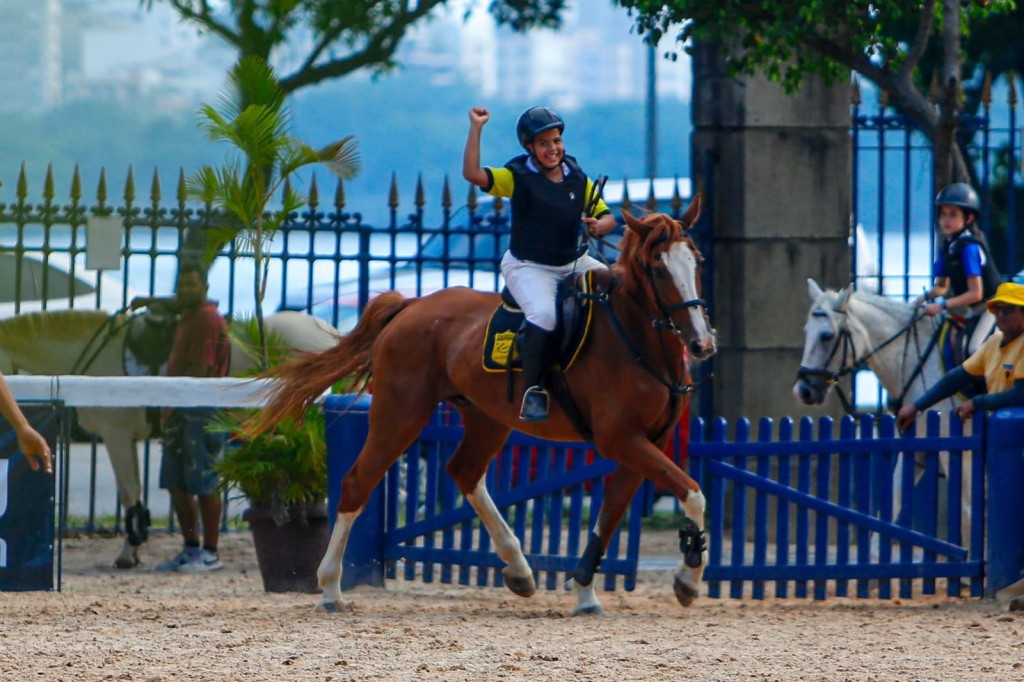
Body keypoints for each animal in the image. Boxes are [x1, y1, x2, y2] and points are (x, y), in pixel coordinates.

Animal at [256, 204, 716, 614]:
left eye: (696, 262)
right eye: (659, 269)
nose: (702, 344)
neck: (635, 339)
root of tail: (411, 306)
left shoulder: (644, 444)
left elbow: (609, 517)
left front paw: (587, 592)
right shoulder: (621, 440)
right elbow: (694, 493)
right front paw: (689, 575)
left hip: (487, 419)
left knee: (465, 472)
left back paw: (519, 569)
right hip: (399, 415)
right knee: (356, 483)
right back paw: (330, 588)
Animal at [790, 276, 974, 540]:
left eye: (826, 335)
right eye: (807, 332)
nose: (802, 391)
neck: (920, 362)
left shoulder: (958, 451)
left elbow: (969, 516)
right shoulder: (916, 448)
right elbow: (888, 513)